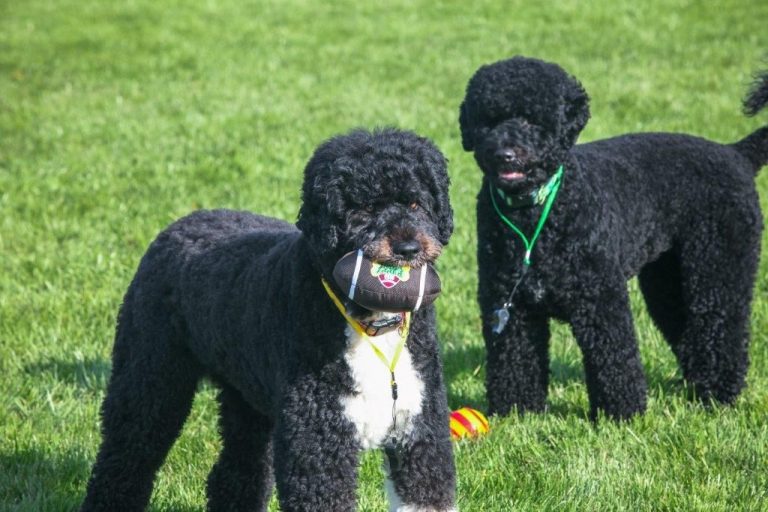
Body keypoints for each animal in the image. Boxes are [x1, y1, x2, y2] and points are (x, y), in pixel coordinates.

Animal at [82, 128, 460, 512]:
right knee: (124, 459)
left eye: (416, 204)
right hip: (150, 378)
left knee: (236, 472)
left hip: (245, 397)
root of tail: (179, 224)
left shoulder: (420, 431)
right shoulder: (317, 445)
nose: (408, 248)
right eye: (365, 208)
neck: (370, 326)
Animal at [460, 58, 768, 422]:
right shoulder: (509, 305)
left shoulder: (601, 299)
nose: (504, 154)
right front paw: (517, 414)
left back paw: (718, 395)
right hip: (667, 281)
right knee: (690, 332)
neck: (536, 214)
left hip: (719, 272)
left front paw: (621, 415)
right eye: (487, 120)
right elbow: (515, 363)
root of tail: (736, 154)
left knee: (723, 330)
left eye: (532, 119)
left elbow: (614, 358)